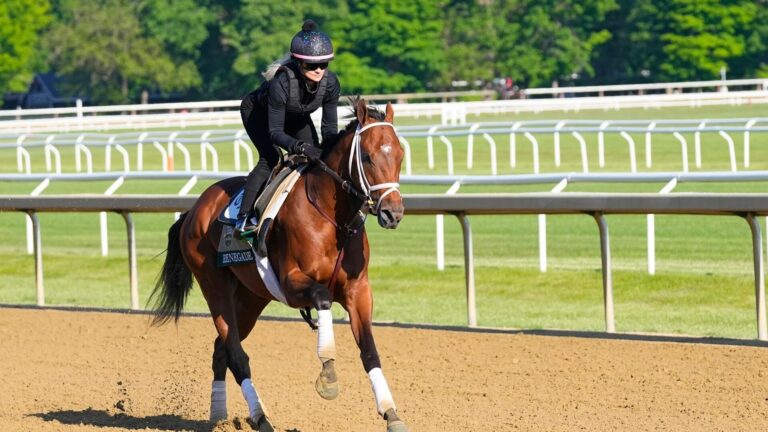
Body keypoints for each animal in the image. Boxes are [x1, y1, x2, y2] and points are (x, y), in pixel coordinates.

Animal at [149, 97, 408, 432]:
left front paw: (391, 413)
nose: (393, 213)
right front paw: (328, 375)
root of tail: (193, 210)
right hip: (214, 286)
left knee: (221, 350)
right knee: (236, 354)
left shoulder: (358, 289)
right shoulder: (291, 283)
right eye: (367, 156)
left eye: (400, 154)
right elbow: (322, 298)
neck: (331, 218)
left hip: (251, 297)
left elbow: (370, 352)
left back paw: (219, 417)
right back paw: (260, 417)